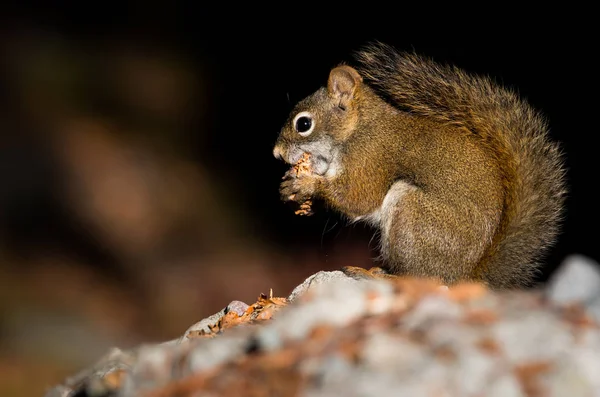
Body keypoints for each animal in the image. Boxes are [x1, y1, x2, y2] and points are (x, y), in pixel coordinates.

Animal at [274, 42, 564, 288]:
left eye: (303, 124)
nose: (276, 153)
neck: (358, 128)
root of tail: (462, 276)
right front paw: (292, 188)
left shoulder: (370, 158)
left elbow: (356, 198)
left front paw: (306, 184)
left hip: (412, 214)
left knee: (421, 279)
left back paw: (378, 276)